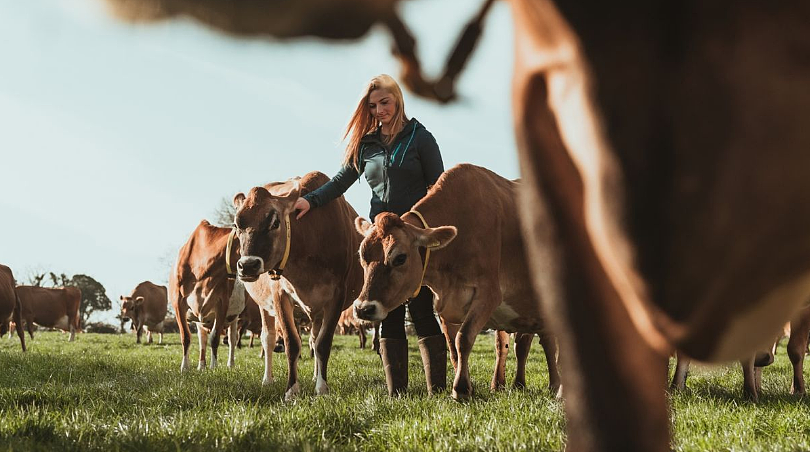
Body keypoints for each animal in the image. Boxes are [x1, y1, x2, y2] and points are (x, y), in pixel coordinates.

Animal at [232, 173, 362, 400]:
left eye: (275, 222)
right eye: (236, 225)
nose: (247, 265)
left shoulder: (337, 295)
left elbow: (322, 343)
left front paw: (322, 388)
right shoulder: (279, 294)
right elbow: (292, 343)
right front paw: (291, 390)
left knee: (314, 339)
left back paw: (316, 376)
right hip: (264, 306)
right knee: (268, 338)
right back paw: (268, 379)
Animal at [356, 163, 560, 400]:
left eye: (400, 257)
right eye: (362, 255)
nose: (363, 309)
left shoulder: (488, 294)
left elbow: (463, 339)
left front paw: (460, 389)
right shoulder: (445, 306)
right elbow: (453, 349)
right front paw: (467, 386)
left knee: (544, 344)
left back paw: (554, 385)